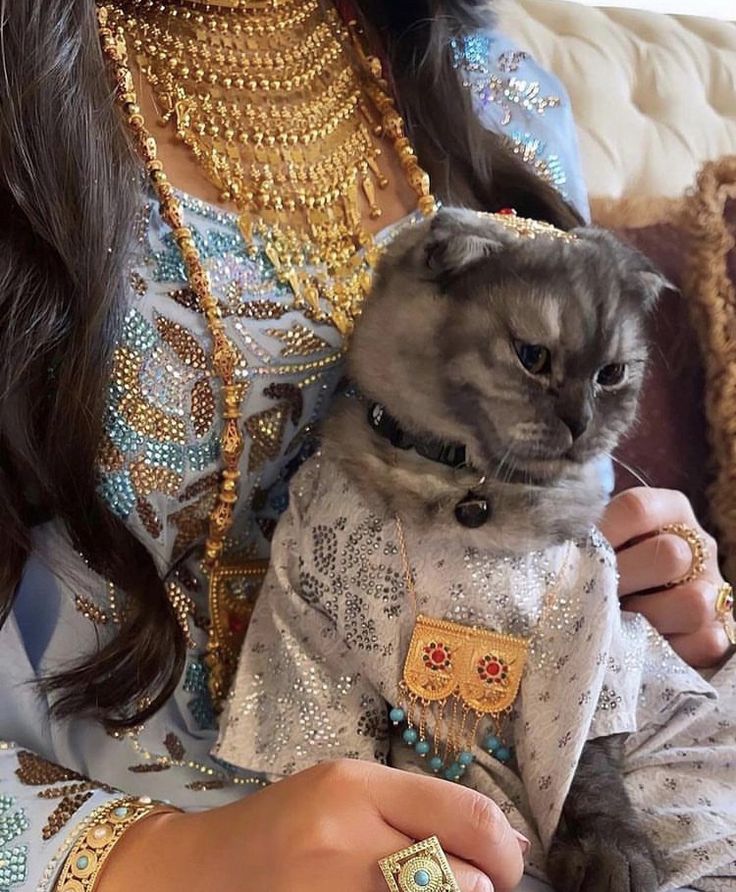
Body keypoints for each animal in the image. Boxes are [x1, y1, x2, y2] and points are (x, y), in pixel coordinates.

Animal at [324, 206, 668, 888]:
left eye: (610, 374)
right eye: (533, 356)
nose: (582, 421)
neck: (470, 495)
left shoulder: (589, 641)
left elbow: (585, 770)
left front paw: (612, 854)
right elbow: (353, 753)